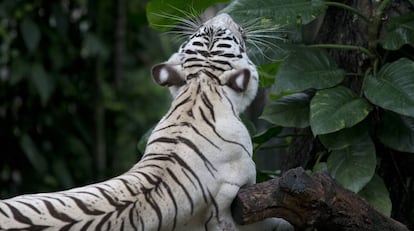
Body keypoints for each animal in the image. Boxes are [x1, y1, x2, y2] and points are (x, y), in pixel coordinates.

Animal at [0, 13, 292, 231]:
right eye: (235, 38)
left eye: (201, 32)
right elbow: (275, 220)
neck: (200, 90)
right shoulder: (234, 207)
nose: (225, 15)